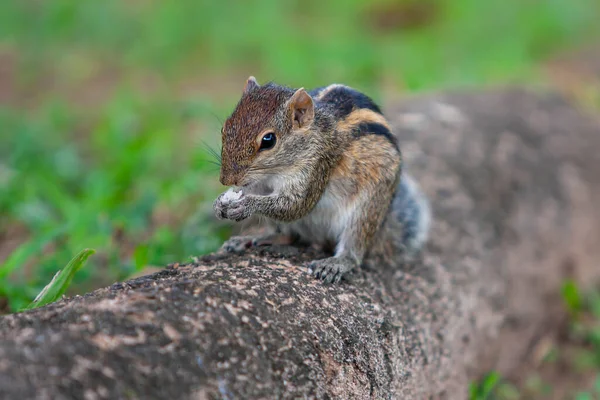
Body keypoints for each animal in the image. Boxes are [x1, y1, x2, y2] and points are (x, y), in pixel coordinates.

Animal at [213, 76, 428, 282]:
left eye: (268, 140)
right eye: (224, 128)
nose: (226, 180)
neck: (274, 173)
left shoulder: (316, 168)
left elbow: (295, 205)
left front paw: (245, 205)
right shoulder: (259, 184)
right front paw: (220, 203)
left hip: (367, 210)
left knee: (354, 249)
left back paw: (336, 263)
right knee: (289, 236)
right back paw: (250, 240)